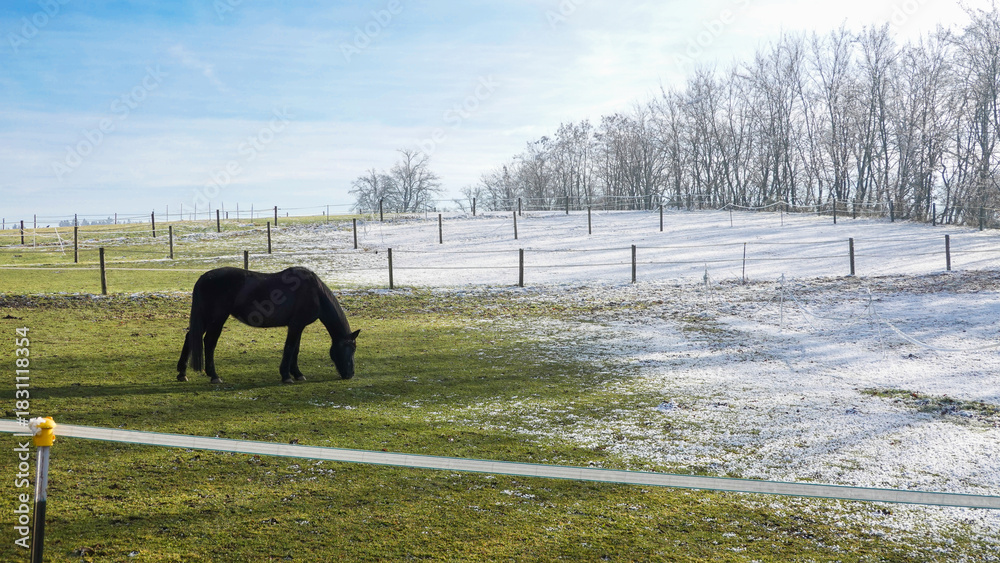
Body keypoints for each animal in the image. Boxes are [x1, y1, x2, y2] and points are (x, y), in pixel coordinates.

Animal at [177, 266, 360, 384]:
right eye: (351, 348)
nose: (351, 374)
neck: (315, 292)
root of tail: (203, 278)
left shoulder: (298, 326)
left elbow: (295, 349)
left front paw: (297, 374)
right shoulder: (296, 325)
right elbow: (290, 348)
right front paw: (286, 376)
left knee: (191, 337)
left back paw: (182, 373)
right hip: (216, 319)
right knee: (209, 342)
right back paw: (214, 376)